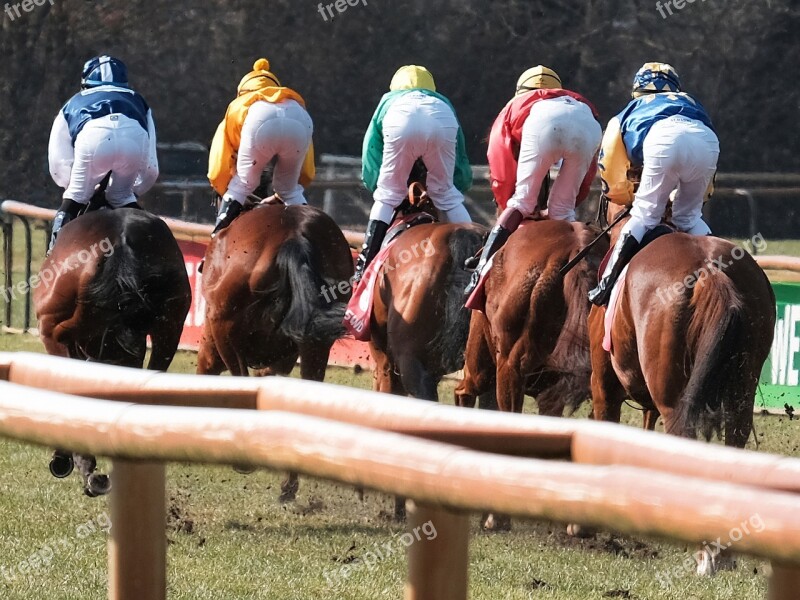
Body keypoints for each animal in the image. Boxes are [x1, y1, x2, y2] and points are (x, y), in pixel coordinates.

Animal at [197, 204, 354, 504]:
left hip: (224, 328)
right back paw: (288, 485)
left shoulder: (215, 341)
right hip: (315, 345)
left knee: (239, 380)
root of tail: (294, 235)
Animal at [588, 200, 776, 572]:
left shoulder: (604, 387)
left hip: (673, 399)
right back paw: (721, 551)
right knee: (735, 435)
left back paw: (704, 553)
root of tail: (711, 271)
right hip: (742, 387)